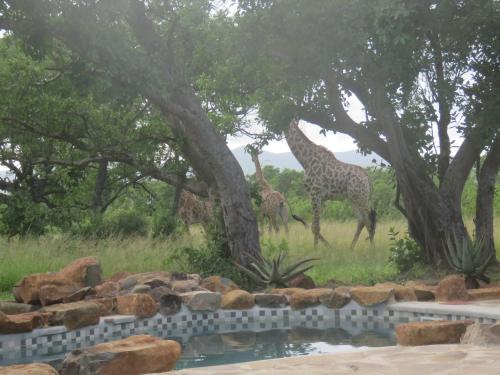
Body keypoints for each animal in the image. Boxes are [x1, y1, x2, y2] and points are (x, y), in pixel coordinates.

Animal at [286, 119, 376, 248]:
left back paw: (372, 249)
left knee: (368, 221)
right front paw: (329, 247)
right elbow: (314, 227)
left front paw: (316, 249)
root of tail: (368, 178)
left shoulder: (315, 194)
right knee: (362, 220)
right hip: (353, 199)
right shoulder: (321, 198)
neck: (305, 160)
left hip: (360, 198)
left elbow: (316, 227)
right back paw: (351, 248)